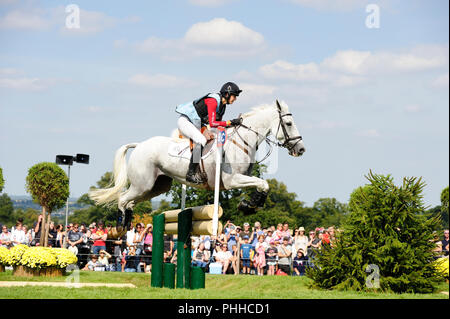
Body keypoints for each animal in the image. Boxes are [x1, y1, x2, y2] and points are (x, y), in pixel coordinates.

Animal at [89, 100, 306, 232]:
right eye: (288, 123)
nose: (301, 149)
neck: (243, 141)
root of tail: (140, 145)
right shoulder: (232, 180)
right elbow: (262, 184)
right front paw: (249, 206)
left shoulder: (239, 179)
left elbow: (263, 185)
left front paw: (249, 205)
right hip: (142, 184)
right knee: (123, 199)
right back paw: (120, 226)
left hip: (156, 187)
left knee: (131, 202)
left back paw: (126, 224)